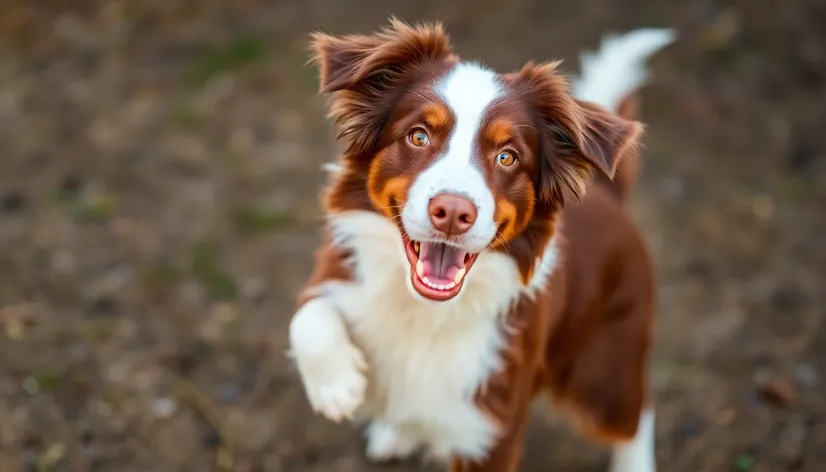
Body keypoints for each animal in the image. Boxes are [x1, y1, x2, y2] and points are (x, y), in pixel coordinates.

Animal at [290, 19, 676, 472]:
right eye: (418, 136)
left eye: (507, 156)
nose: (453, 212)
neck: (423, 312)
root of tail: (606, 192)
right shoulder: (337, 269)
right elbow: (307, 313)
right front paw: (337, 385)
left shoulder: (490, 432)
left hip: (601, 368)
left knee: (636, 416)